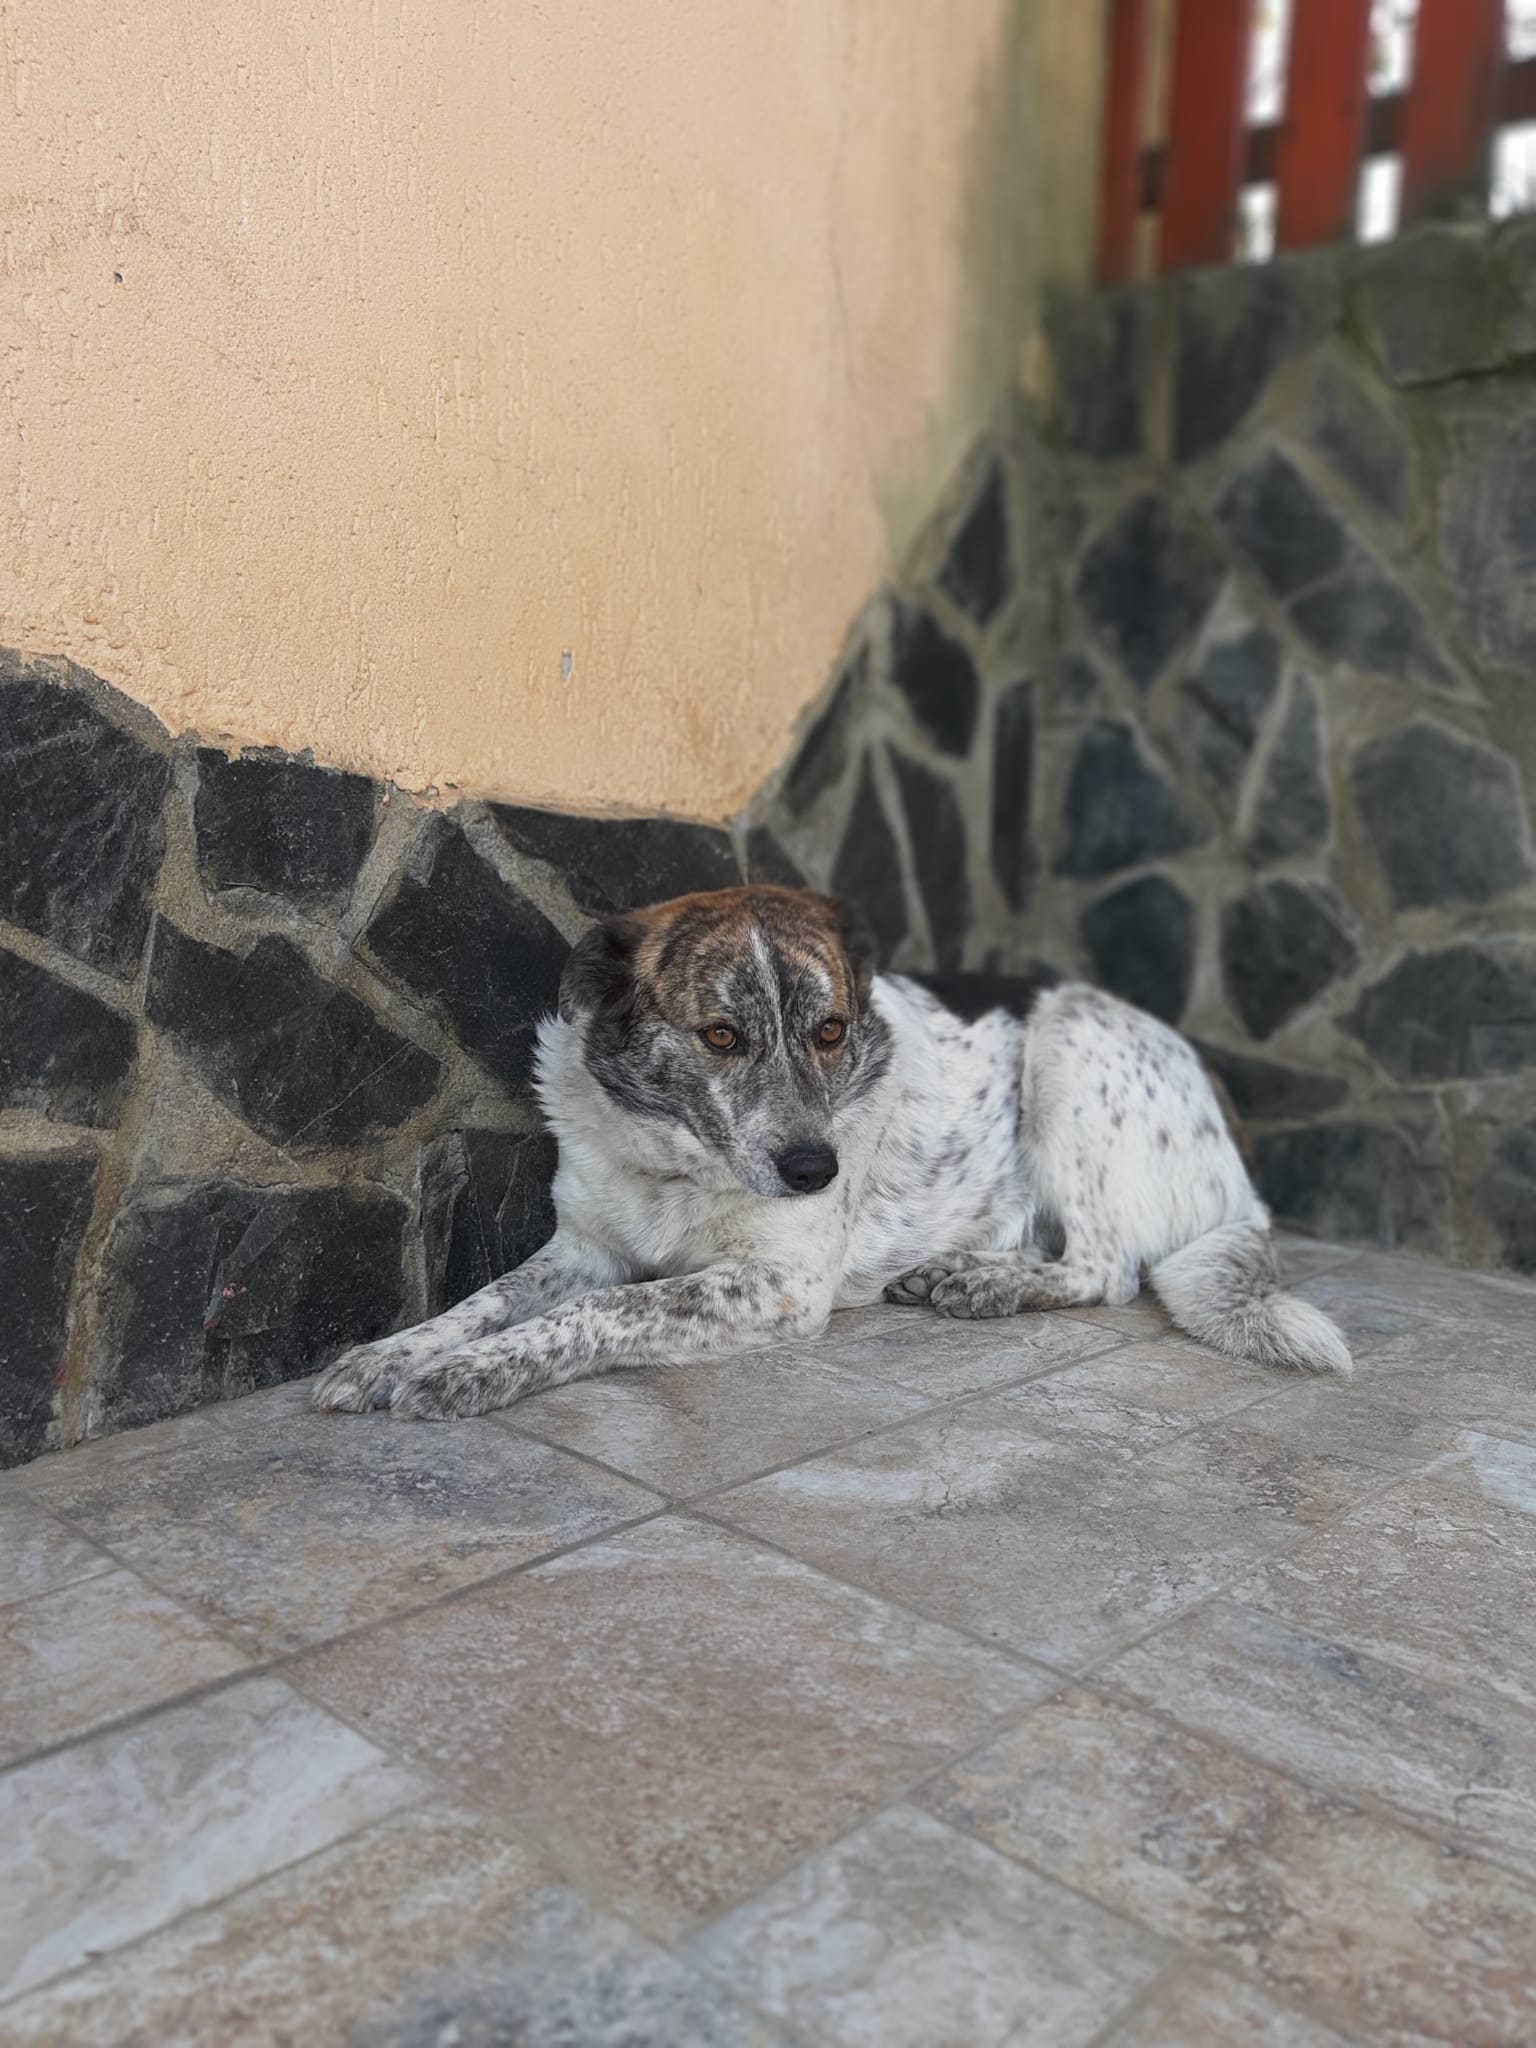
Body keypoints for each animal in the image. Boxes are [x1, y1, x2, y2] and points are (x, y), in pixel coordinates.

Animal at [313, 884, 1351, 1420]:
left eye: (830, 1031)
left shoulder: (775, 1286)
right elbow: (484, 1300)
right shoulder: (582, 1248)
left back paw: (981, 1282)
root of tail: (1238, 1161)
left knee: (1107, 1268)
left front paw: (472, 1372)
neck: (679, 1161)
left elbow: (602, 1313)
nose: (817, 1173)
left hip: (1070, 1042)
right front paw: (390, 1355)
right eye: (722, 1035)